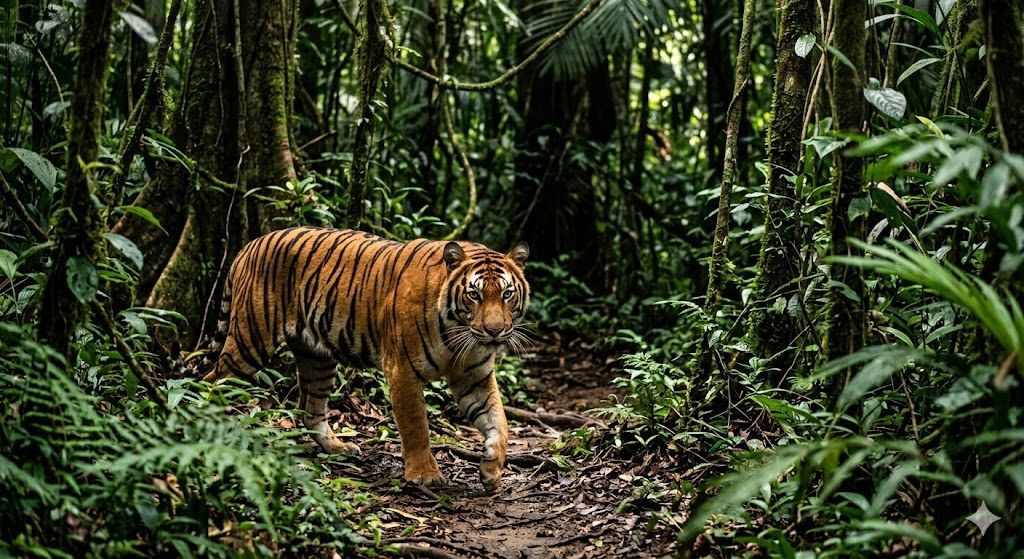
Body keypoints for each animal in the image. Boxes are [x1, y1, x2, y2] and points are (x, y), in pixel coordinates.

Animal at [201, 227, 531, 491]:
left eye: (507, 294)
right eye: (474, 295)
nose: (494, 331)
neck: (460, 335)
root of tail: (250, 244)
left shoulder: (474, 377)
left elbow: (499, 422)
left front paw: (491, 469)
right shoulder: (402, 370)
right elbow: (416, 426)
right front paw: (424, 475)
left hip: (318, 359)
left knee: (311, 409)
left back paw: (337, 447)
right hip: (250, 341)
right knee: (213, 381)